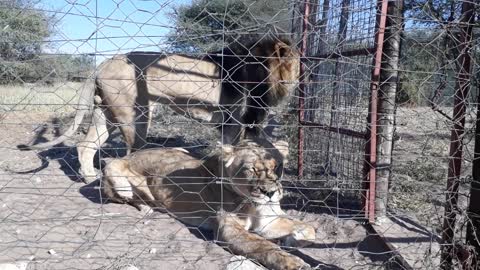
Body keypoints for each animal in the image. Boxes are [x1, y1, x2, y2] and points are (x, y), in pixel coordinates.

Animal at [24, 36, 300, 184]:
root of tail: (101, 63)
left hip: (107, 116)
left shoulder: (234, 122)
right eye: (297, 63)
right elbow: (238, 150)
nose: (300, 79)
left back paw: (89, 177)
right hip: (135, 116)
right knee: (130, 152)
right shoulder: (236, 120)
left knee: (85, 145)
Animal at [102, 139, 316, 270]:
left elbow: (310, 229)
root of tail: (129, 154)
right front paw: (293, 262)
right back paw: (148, 207)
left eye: (277, 167)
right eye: (252, 169)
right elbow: (262, 246)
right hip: (113, 170)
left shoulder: (268, 222)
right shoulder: (229, 229)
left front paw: (291, 241)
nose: (271, 193)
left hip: (181, 150)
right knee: (125, 197)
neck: (253, 204)